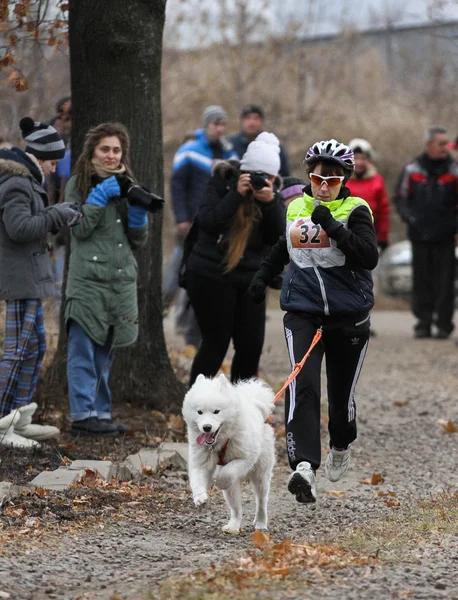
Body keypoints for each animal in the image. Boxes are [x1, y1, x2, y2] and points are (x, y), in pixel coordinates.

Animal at [182, 376, 276, 536]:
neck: (219, 443)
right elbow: (196, 479)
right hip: (234, 492)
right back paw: (233, 526)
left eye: (216, 411)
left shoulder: (246, 458)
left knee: (261, 501)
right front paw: (200, 497)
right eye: (199, 412)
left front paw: (220, 482)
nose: (206, 427)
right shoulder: (200, 461)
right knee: (237, 510)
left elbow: (228, 473)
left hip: (261, 474)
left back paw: (261, 523)